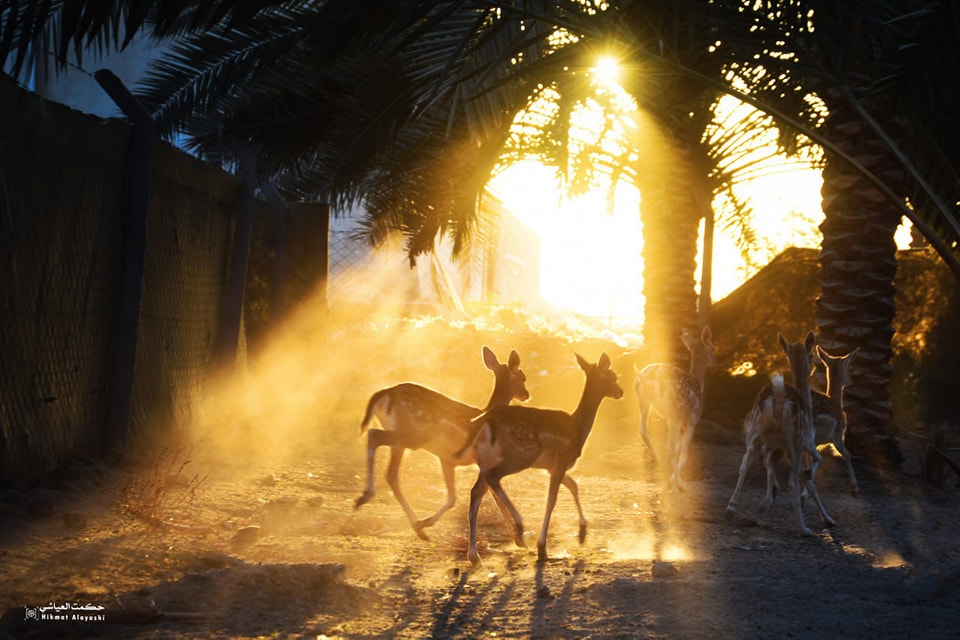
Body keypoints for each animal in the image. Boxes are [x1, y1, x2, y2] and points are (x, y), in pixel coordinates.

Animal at [355, 345, 529, 539]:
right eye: (523, 377)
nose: (526, 395)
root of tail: (384, 394)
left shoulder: (447, 460)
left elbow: (453, 498)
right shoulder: (479, 459)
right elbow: (490, 494)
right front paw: (516, 535)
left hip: (402, 440)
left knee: (391, 473)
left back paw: (418, 529)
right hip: (413, 435)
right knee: (374, 436)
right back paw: (367, 496)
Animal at [458, 352, 624, 566]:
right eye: (612, 376)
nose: (620, 391)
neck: (578, 428)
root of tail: (484, 421)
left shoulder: (552, 467)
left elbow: (574, 485)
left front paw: (582, 534)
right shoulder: (561, 460)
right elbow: (552, 499)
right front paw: (542, 548)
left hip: (488, 458)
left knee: (477, 491)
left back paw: (475, 556)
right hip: (522, 453)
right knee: (493, 478)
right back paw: (519, 529)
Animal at [634, 325, 715, 492]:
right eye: (713, 348)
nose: (714, 360)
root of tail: (648, 378)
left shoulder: (675, 421)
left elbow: (678, 448)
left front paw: (671, 481)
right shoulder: (691, 420)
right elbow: (683, 452)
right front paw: (674, 483)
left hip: (643, 402)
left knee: (643, 430)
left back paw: (655, 457)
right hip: (675, 412)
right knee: (669, 447)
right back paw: (681, 485)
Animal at [726, 332, 836, 536]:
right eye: (811, 355)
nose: (814, 364)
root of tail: (777, 395)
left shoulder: (773, 445)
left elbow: (769, 466)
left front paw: (767, 500)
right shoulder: (807, 440)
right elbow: (814, 469)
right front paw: (828, 519)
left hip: (755, 432)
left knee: (744, 464)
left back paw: (730, 508)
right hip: (795, 440)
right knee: (792, 482)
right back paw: (804, 529)